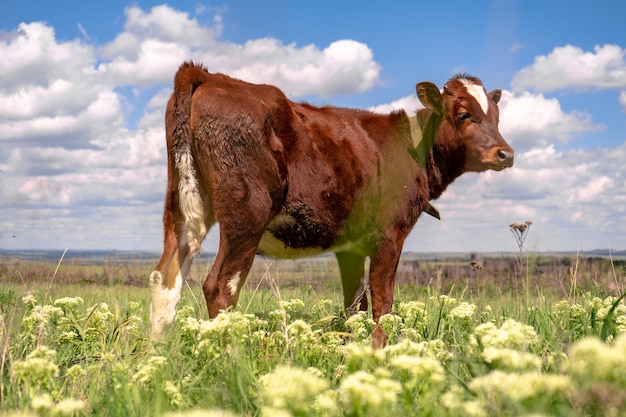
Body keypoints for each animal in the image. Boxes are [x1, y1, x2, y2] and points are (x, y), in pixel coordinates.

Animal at [147, 61, 512, 346]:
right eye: (463, 114)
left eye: (496, 117)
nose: (506, 153)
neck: (413, 149)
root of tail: (208, 75)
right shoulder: (390, 234)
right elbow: (382, 301)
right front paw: (381, 353)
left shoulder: (350, 245)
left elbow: (354, 304)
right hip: (248, 213)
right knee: (220, 286)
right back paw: (231, 359)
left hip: (180, 206)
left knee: (165, 278)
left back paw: (156, 359)